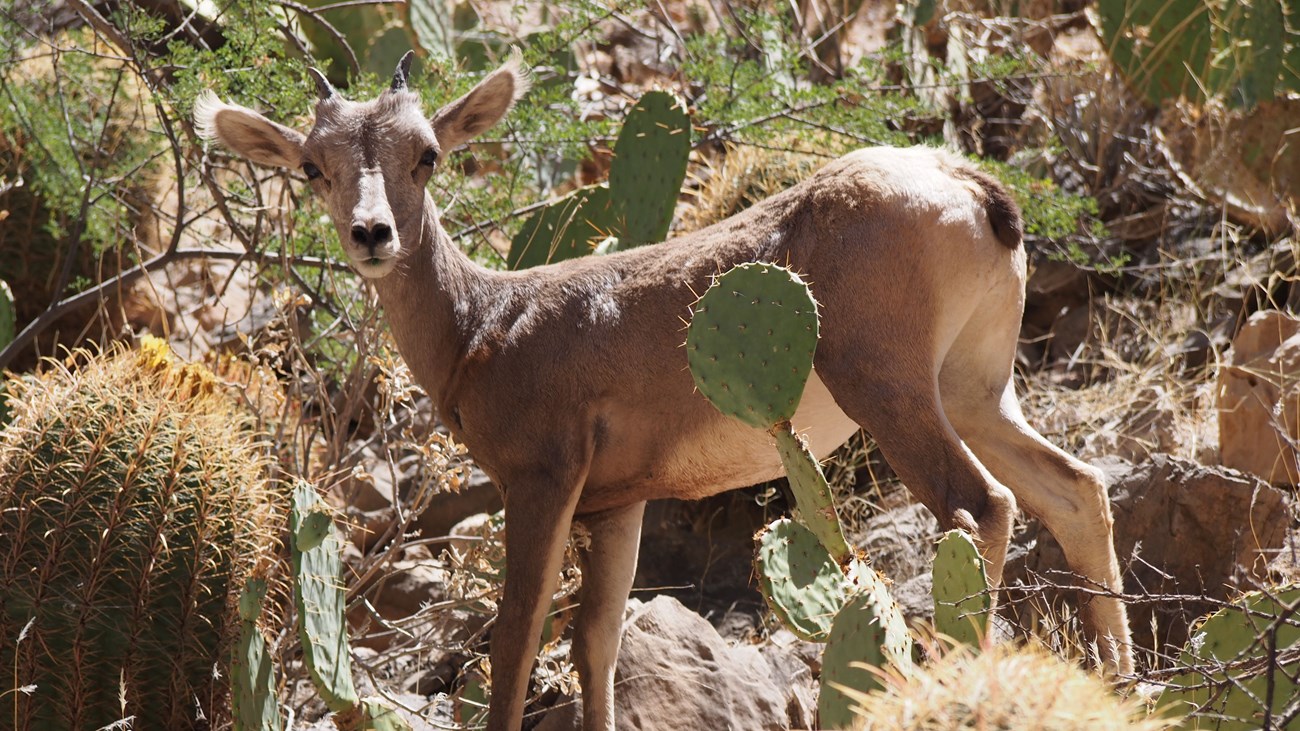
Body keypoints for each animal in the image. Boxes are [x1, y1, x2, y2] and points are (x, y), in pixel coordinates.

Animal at [195, 52, 1138, 728]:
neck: (486, 326)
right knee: (1076, 490)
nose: (373, 233)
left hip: (890, 389)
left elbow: (515, 639)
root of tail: (968, 187)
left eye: (426, 153)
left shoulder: (541, 482)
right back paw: (1127, 690)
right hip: (976, 392)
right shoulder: (618, 505)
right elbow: (596, 641)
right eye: (313, 165)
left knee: (980, 507)